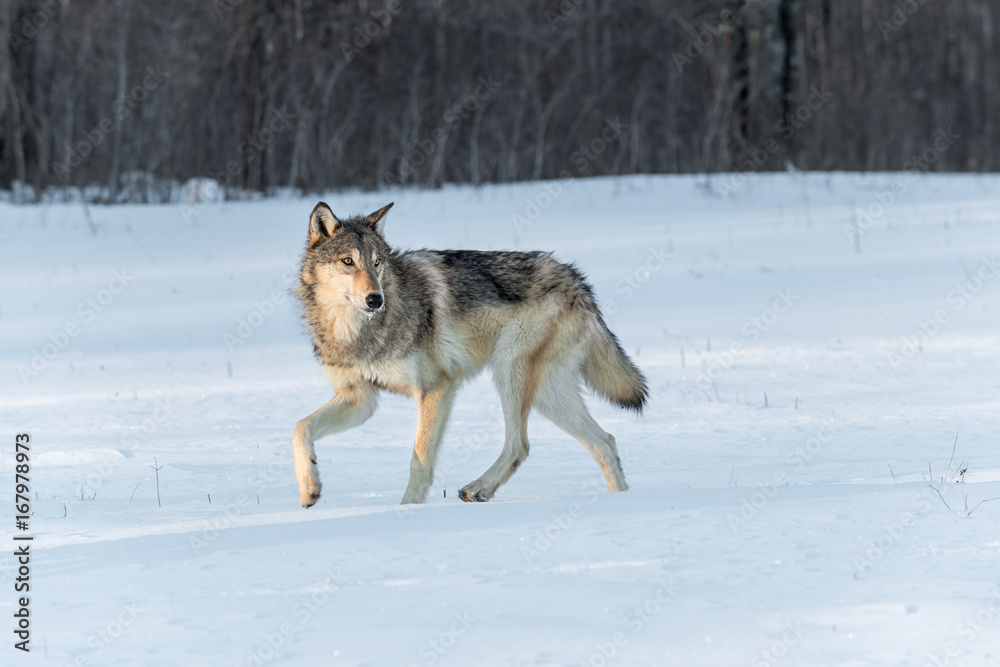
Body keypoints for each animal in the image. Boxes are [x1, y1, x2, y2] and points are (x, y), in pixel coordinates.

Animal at [292, 201, 647, 507]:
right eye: (347, 262)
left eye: (377, 263)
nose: (375, 299)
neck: (356, 331)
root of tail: (577, 279)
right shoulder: (360, 398)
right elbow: (301, 428)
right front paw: (309, 488)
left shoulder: (435, 388)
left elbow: (419, 461)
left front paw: (407, 511)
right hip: (547, 394)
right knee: (604, 441)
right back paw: (620, 502)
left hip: (510, 371)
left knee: (520, 444)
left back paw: (480, 488)